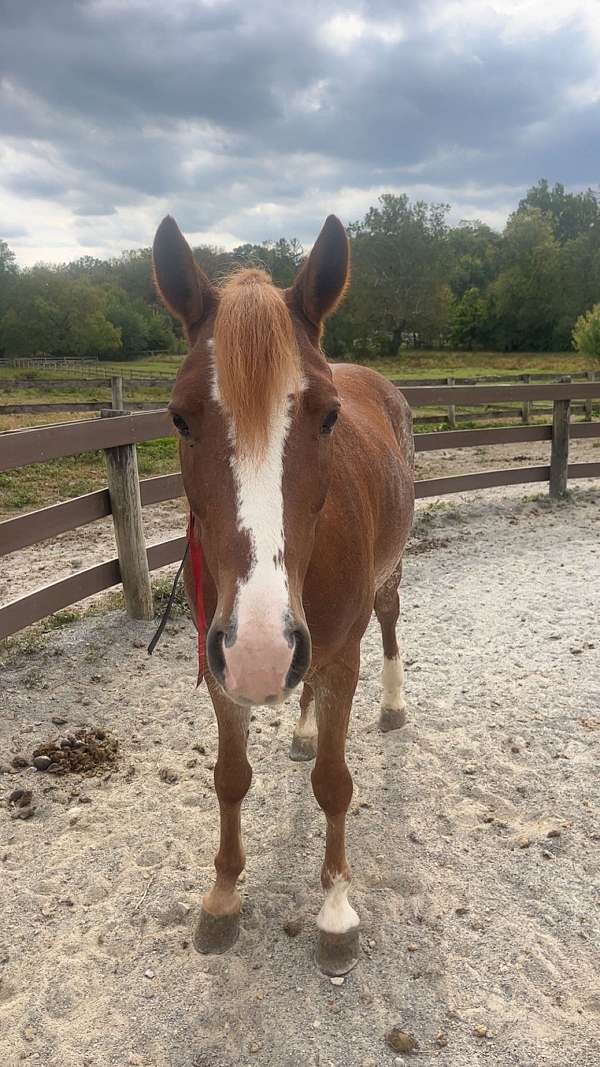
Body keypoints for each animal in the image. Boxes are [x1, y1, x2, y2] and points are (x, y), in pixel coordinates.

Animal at [152, 214, 415, 975]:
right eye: (179, 418)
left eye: (327, 418)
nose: (264, 649)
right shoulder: (222, 663)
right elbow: (229, 777)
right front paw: (222, 898)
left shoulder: (340, 656)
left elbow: (334, 783)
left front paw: (336, 911)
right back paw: (300, 726)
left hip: (384, 582)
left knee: (391, 621)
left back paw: (394, 705)